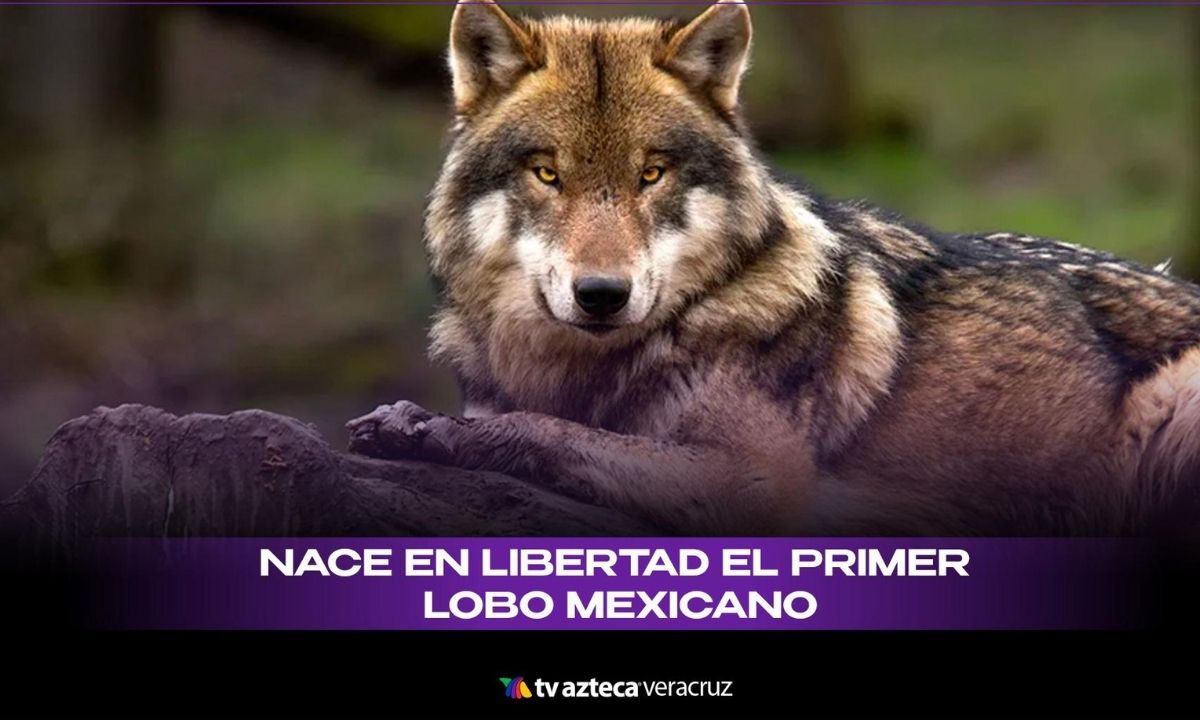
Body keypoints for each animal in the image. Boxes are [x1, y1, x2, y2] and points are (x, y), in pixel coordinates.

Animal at [348, 0, 1200, 535]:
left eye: (651, 174)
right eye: (546, 173)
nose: (601, 296)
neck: (584, 369)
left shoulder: (754, 481)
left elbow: (549, 433)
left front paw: (428, 430)